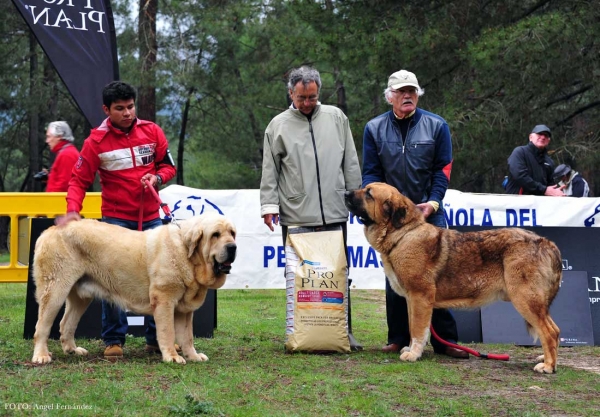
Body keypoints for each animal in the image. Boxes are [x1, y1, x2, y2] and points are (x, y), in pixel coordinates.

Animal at [31, 214, 236, 364]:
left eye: (232, 233)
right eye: (215, 234)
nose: (232, 247)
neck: (186, 253)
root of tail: (50, 230)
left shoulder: (184, 309)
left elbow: (187, 336)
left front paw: (193, 356)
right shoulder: (164, 300)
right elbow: (168, 332)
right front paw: (172, 356)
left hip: (80, 298)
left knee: (66, 323)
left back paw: (72, 350)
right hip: (55, 291)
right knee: (42, 326)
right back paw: (41, 356)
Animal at [346, 183, 564, 374]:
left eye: (369, 194)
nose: (346, 193)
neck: (403, 234)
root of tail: (547, 243)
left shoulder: (420, 297)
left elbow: (417, 329)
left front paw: (414, 354)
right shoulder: (412, 299)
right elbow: (413, 326)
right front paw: (410, 348)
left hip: (525, 299)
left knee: (549, 332)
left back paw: (548, 366)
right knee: (554, 330)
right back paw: (546, 358)